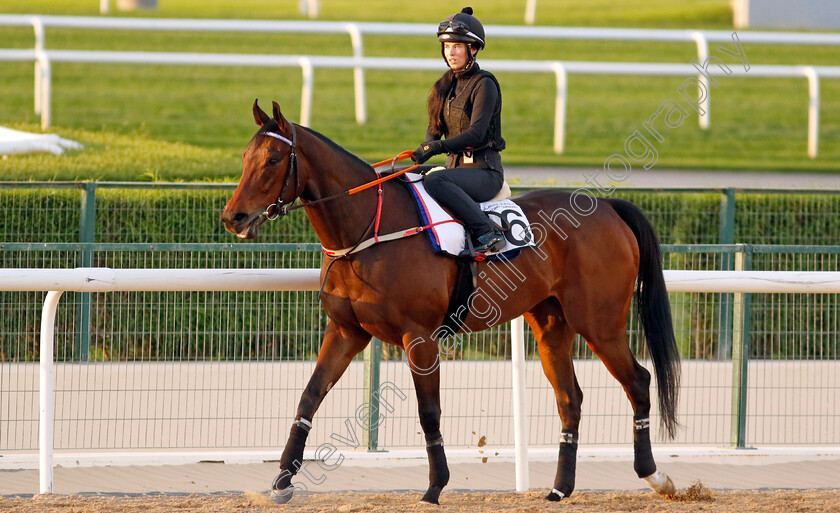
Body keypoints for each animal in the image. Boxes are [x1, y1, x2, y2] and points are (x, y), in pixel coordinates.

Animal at [220, 101, 680, 504]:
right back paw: (559, 488)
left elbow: (429, 412)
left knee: (638, 380)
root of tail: (607, 207)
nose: (232, 218)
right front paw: (282, 481)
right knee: (570, 398)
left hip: (599, 322)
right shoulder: (346, 331)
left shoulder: (419, 337)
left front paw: (435, 486)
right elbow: (309, 397)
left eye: (274, 159)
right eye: (245, 156)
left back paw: (655, 475)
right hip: (551, 324)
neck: (370, 227)